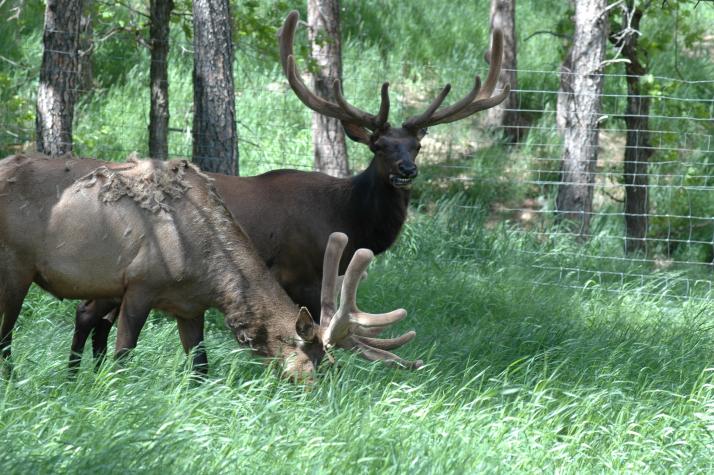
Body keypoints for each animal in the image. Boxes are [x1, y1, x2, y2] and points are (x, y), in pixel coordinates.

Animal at [0, 154, 418, 382]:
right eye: (318, 364)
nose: (325, 395)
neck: (206, 269)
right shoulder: (139, 287)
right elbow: (124, 355)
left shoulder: (189, 307)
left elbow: (201, 368)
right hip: (15, 267)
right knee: (7, 334)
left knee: (79, 317)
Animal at [69, 9, 506, 370]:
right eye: (378, 146)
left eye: (416, 146)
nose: (407, 170)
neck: (349, 219)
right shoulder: (301, 272)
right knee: (91, 314)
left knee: (95, 317)